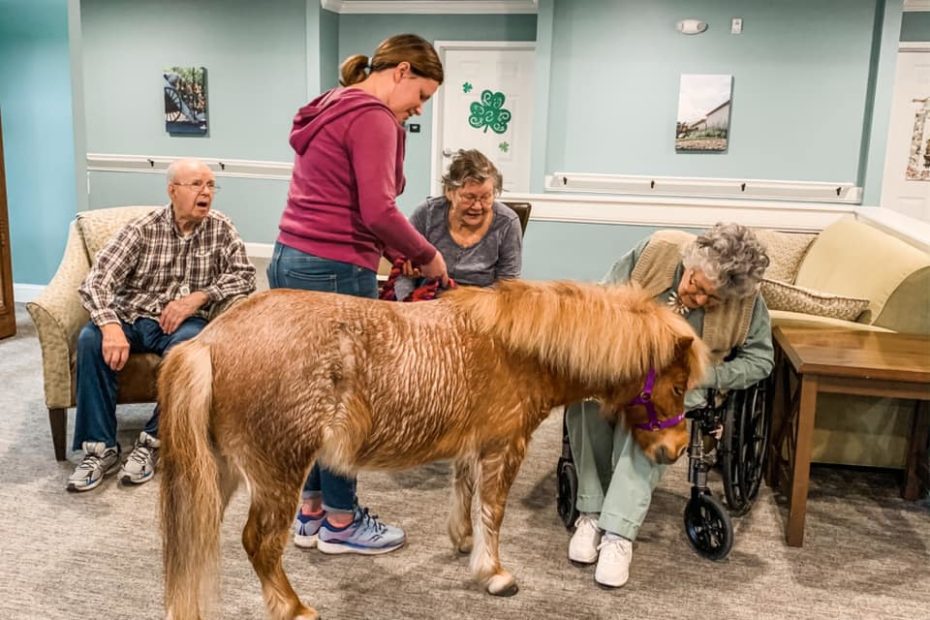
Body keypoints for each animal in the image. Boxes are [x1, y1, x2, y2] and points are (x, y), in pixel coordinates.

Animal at [159, 279, 709, 619]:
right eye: (678, 386)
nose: (675, 448)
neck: (517, 349)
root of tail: (209, 341)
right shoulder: (504, 447)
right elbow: (492, 510)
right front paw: (494, 573)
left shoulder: (473, 447)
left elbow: (464, 494)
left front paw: (464, 542)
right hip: (278, 473)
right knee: (259, 543)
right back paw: (293, 608)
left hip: (221, 471)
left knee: (197, 537)